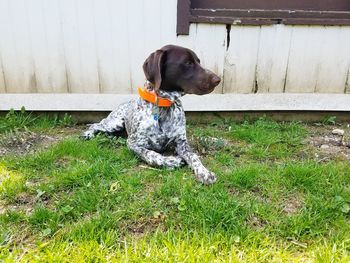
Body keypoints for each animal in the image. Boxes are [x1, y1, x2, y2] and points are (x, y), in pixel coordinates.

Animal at [81, 44, 220, 186]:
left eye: (198, 61)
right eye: (187, 62)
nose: (218, 80)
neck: (163, 107)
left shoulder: (181, 143)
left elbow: (194, 156)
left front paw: (204, 172)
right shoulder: (134, 144)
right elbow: (152, 155)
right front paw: (172, 161)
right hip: (114, 122)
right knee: (96, 124)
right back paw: (87, 134)